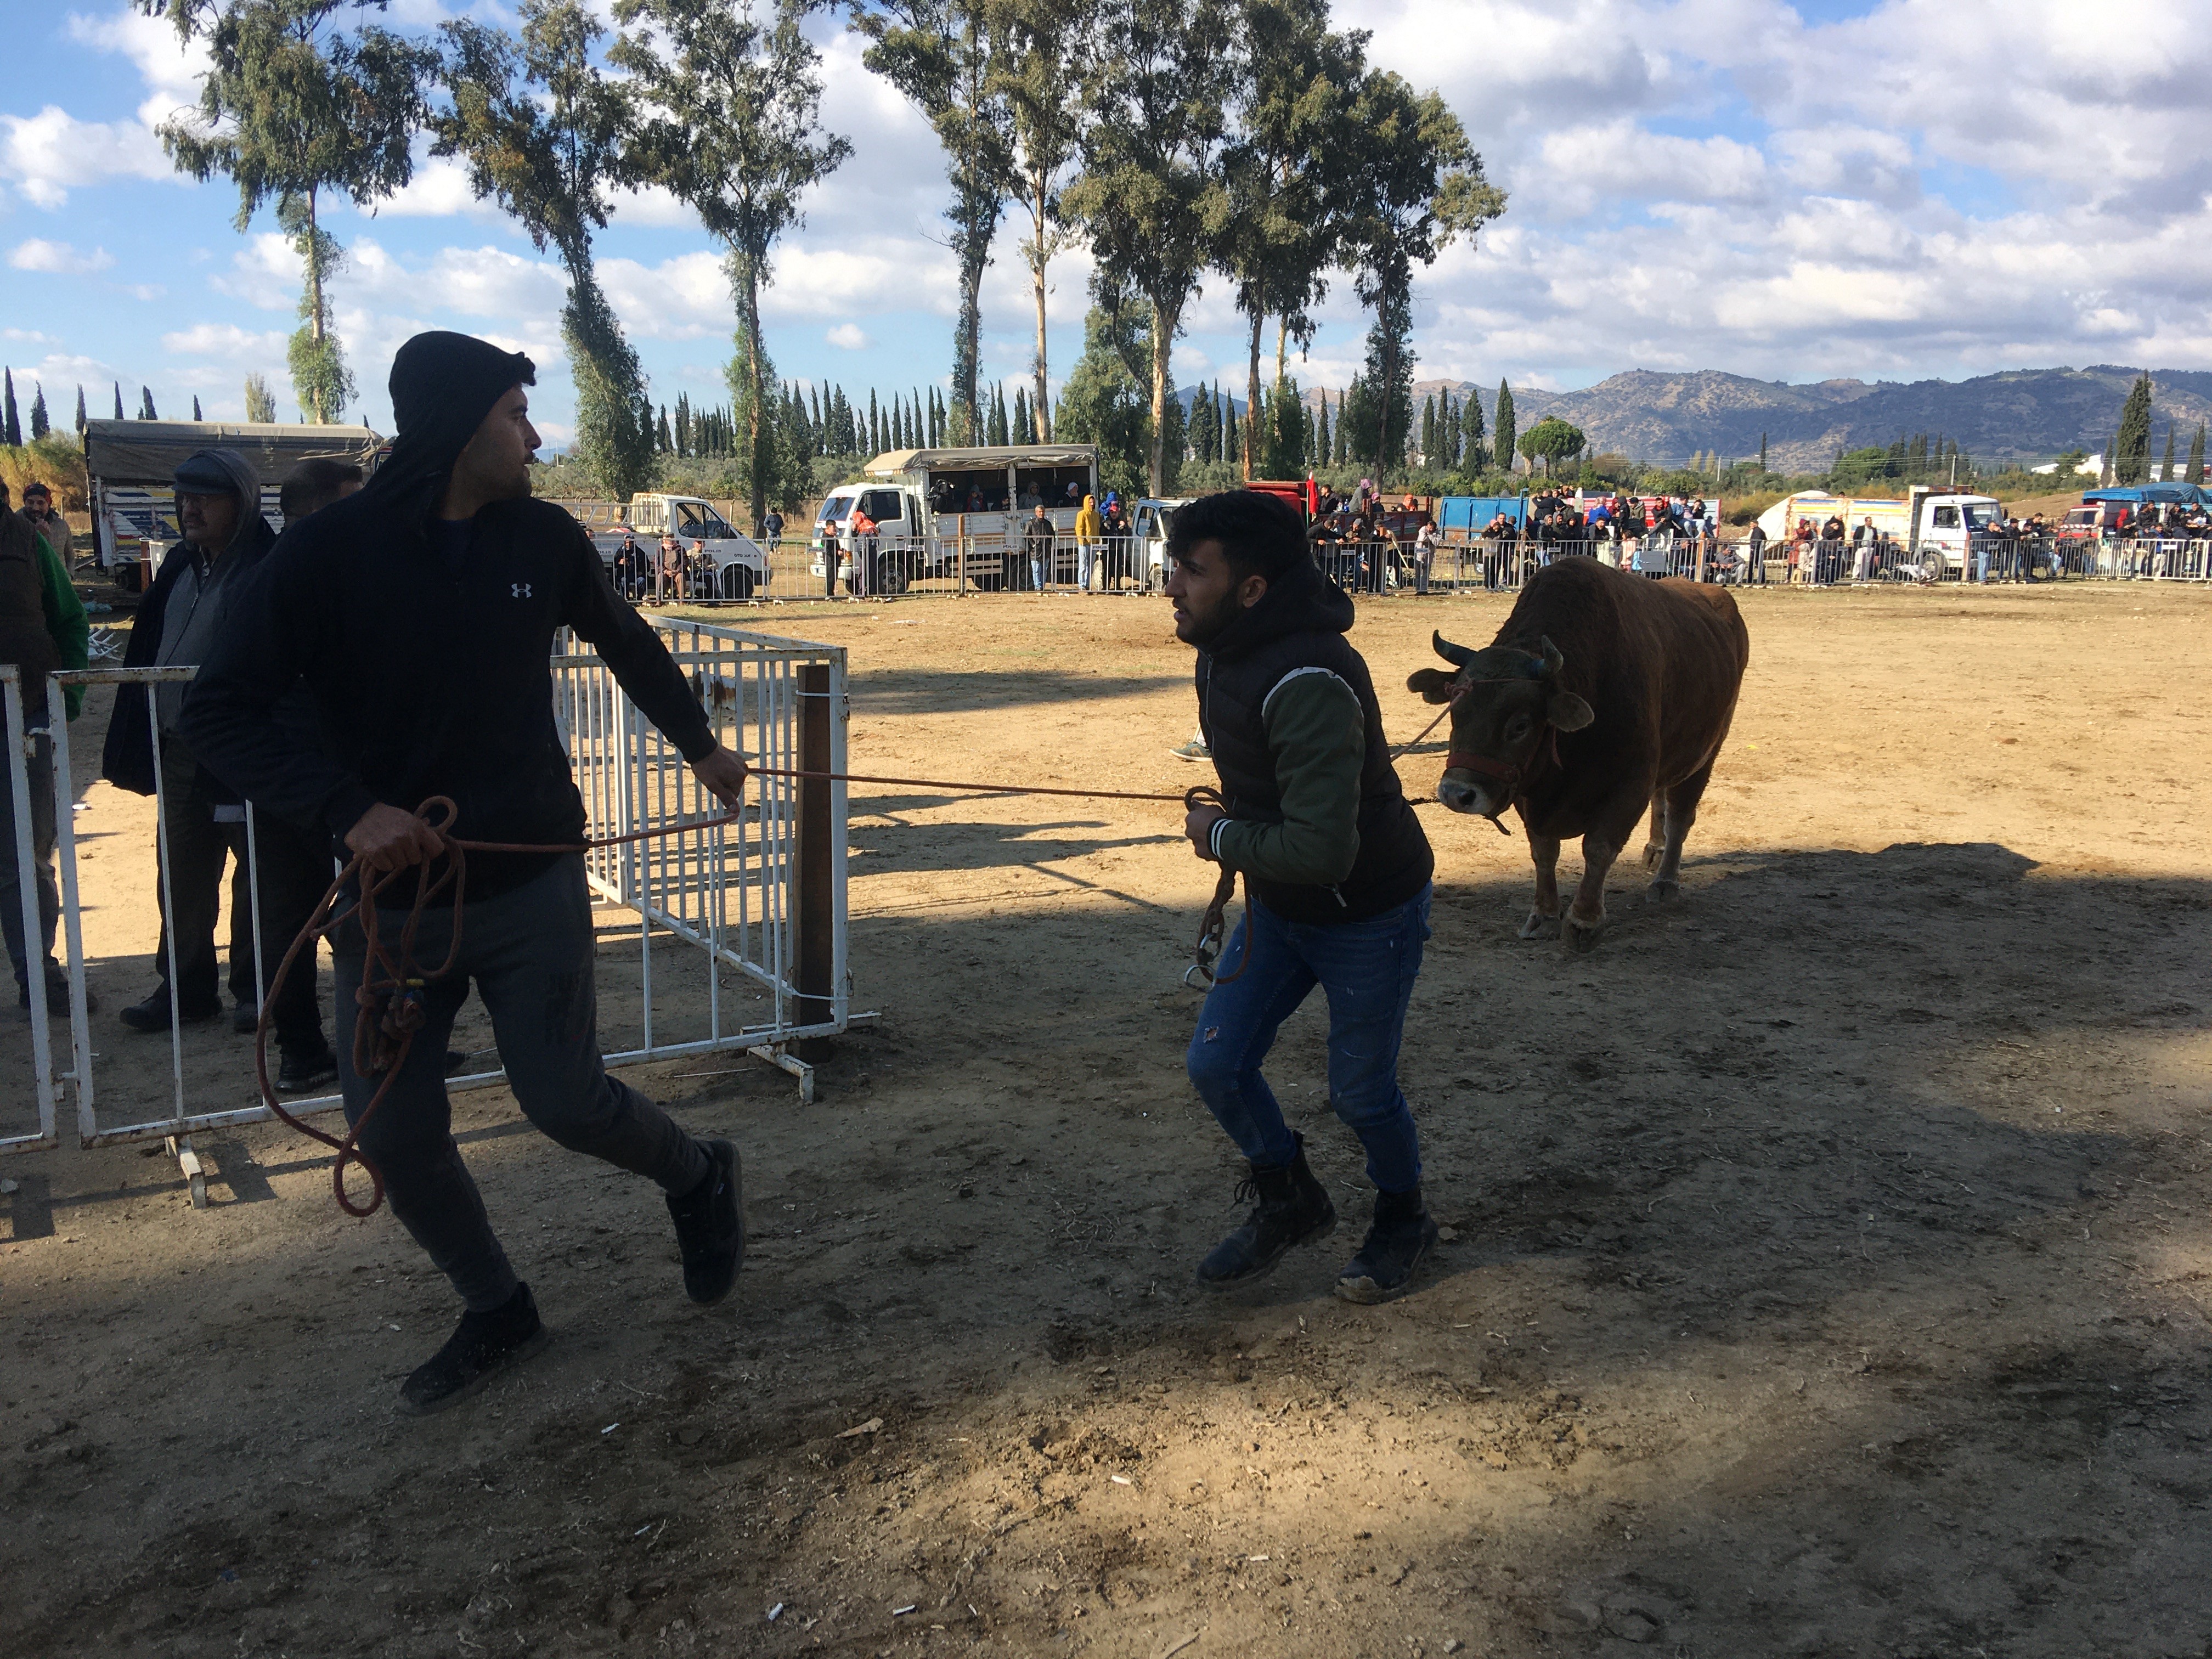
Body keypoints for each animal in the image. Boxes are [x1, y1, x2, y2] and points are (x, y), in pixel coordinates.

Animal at [1415, 560, 1743, 946]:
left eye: (1521, 725)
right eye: (1455, 708)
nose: (1457, 793)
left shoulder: (1630, 784)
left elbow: (1599, 849)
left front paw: (1584, 920)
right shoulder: (1532, 792)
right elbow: (1543, 851)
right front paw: (1544, 914)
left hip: (1707, 752)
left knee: (1680, 816)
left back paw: (1666, 880)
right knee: (1663, 799)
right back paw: (1655, 847)